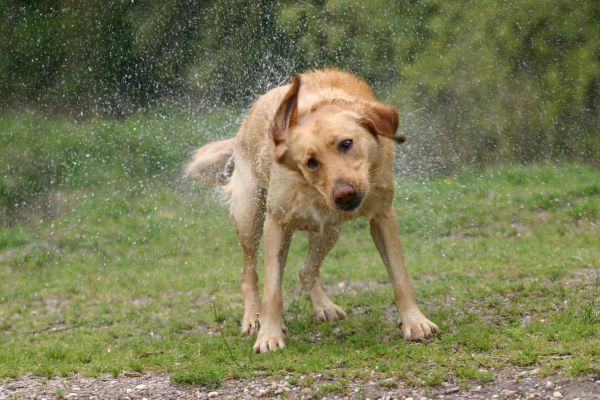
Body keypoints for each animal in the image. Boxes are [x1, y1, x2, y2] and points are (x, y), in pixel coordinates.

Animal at [185, 69, 438, 354]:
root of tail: (241, 132)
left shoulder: (382, 216)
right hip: (249, 216)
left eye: (346, 143)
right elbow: (272, 290)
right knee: (248, 272)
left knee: (306, 269)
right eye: (311, 162)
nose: (344, 193)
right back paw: (252, 318)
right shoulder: (276, 223)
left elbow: (399, 275)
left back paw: (324, 306)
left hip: (330, 230)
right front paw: (269, 334)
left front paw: (414, 321)